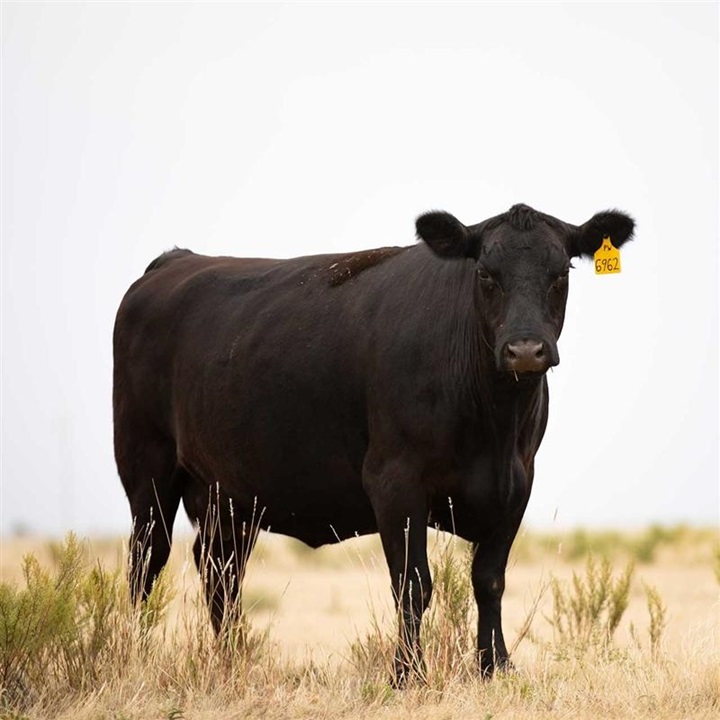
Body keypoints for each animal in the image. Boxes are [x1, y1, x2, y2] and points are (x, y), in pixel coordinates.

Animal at [114, 202, 636, 680]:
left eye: (560, 273)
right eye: (486, 274)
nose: (525, 350)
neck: (494, 427)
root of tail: (177, 260)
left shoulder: (516, 485)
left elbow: (489, 581)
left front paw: (496, 668)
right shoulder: (394, 482)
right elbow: (413, 584)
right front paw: (407, 674)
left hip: (227, 492)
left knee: (220, 569)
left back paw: (234, 660)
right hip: (147, 467)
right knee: (147, 559)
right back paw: (135, 656)